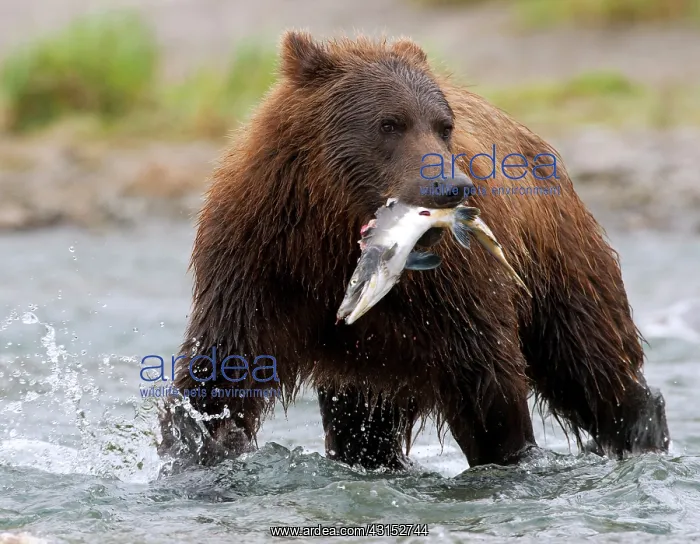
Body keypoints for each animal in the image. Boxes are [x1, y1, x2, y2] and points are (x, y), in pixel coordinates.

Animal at [157, 30, 670, 471]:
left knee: (589, 361)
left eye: (443, 125)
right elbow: (223, 371)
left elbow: (487, 380)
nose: (450, 186)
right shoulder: (260, 260)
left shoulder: (450, 288)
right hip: (374, 360)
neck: (335, 232)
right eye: (389, 123)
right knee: (363, 426)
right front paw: (198, 445)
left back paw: (643, 433)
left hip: (557, 261)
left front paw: (510, 455)